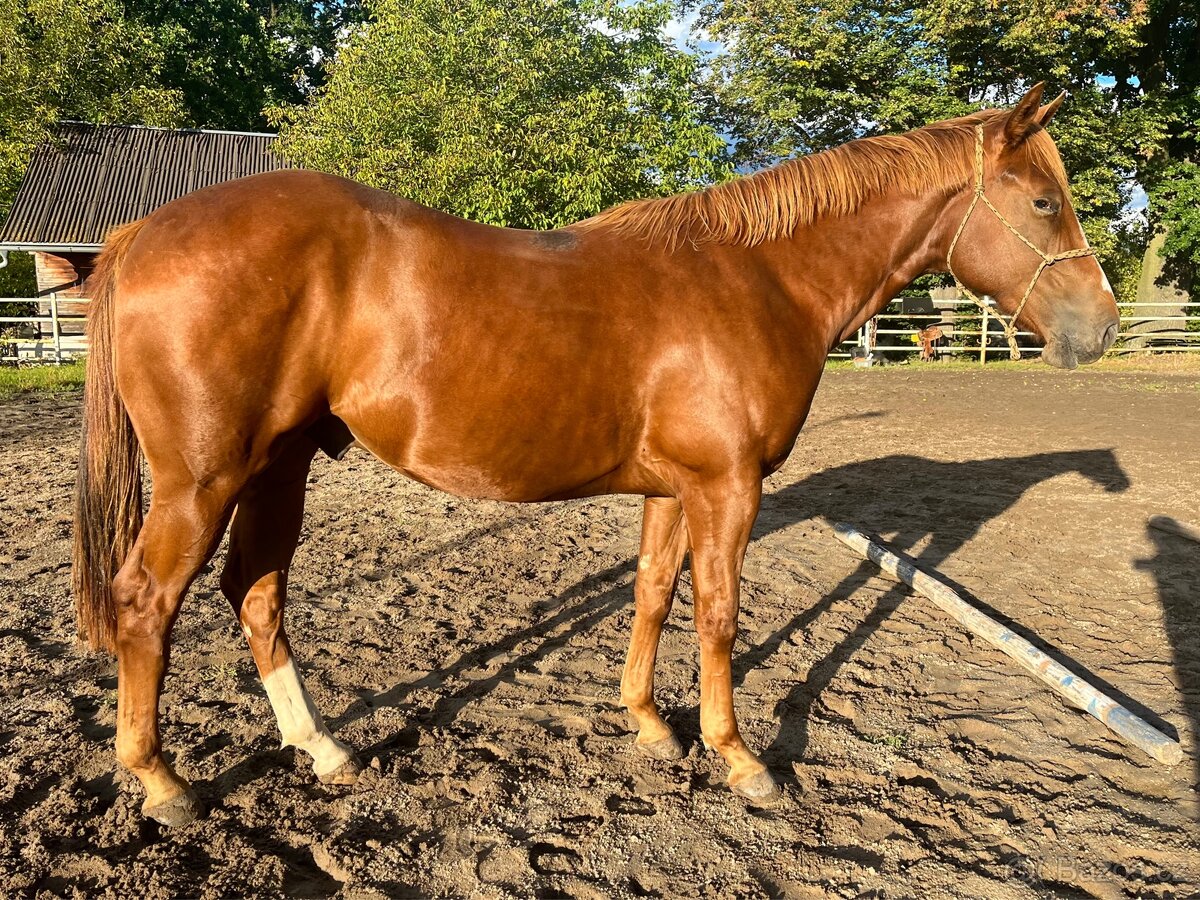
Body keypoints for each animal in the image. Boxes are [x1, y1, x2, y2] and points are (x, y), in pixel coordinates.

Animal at [72, 83, 1119, 826]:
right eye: (1043, 201)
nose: (1101, 328)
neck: (759, 278)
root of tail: (141, 234)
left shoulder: (676, 489)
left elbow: (654, 594)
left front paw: (651, 725)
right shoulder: (729, 488)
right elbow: (719, 616)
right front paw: (741, 759)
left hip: (277, 466)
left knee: (254, 592)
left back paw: (323, 750)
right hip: (204, 480)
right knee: (148, 602)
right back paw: (161, 782)